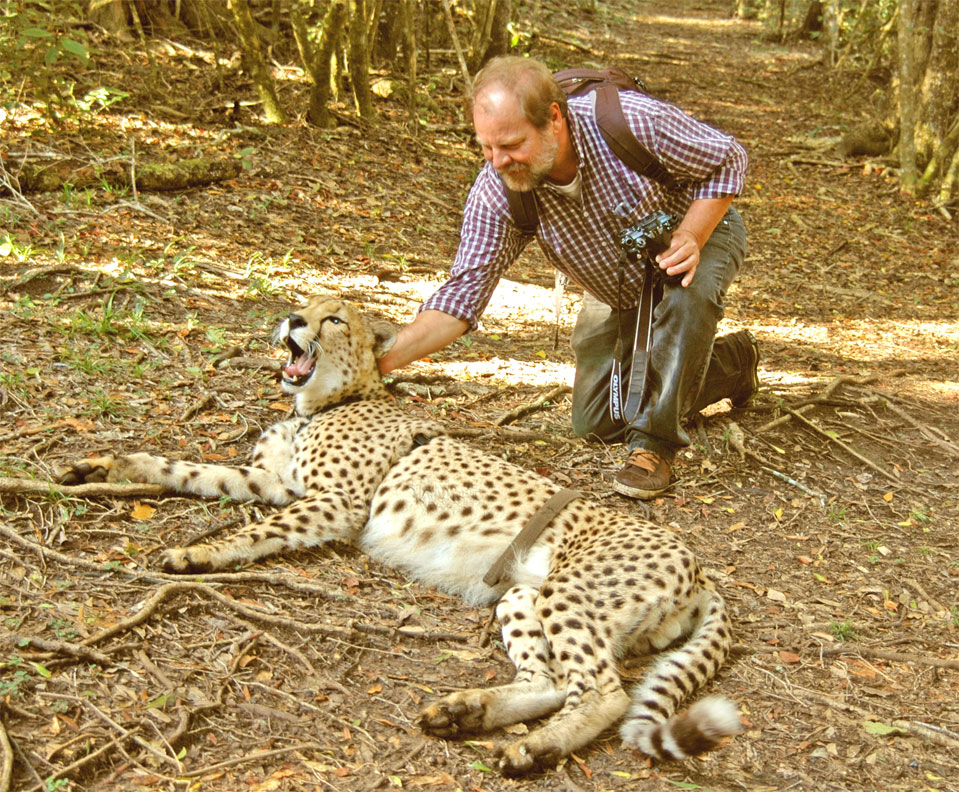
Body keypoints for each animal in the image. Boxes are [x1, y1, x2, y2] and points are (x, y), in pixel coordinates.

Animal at [69, 296, 744, 772]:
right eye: (303, 304)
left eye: (333, 318)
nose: (292, 319)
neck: (323, 403)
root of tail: (701, 570)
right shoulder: (275, 481)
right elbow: (183, 469)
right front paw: (104, 467)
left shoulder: (334, 505)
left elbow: (258, 529)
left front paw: (197, 553)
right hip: (522, 594)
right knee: (552, 681)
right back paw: (467, 712)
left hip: (570, 596)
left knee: (603, 692)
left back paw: (532, 750)